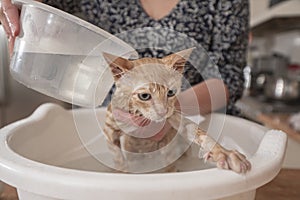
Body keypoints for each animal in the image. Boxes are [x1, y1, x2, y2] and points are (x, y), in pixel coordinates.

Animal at [102, 48, 251, 173]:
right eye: (144, 96)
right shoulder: (109, 129)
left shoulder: (173, 116)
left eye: (171, 92)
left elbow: (198, 131)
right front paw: (122, 171)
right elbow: (118, 157)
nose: (162, 112)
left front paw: (223, 153)